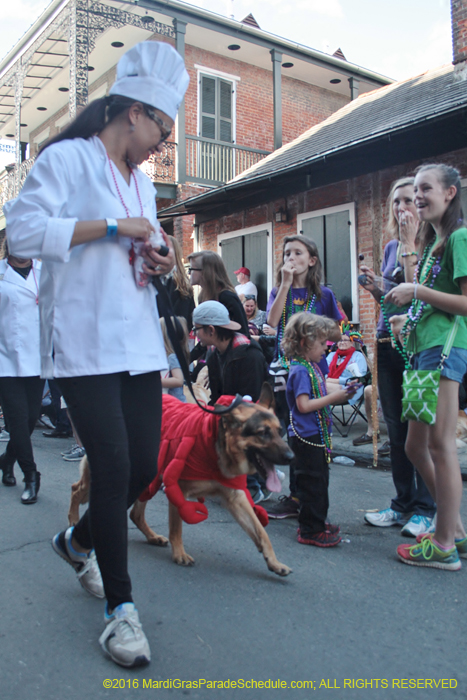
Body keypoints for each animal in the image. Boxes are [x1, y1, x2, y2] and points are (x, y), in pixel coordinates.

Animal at [67, 386, 294, 576]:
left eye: (279, 431)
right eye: (262, 433)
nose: (291, 457)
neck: (216, 444)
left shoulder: (236, 499)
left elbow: (261, 532)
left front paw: (274, 562)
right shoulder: (179, 490)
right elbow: (177, 528)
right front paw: (180, 554)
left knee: (135, 514)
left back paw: (152, 537)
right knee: (76, 489)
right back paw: (73, 521)